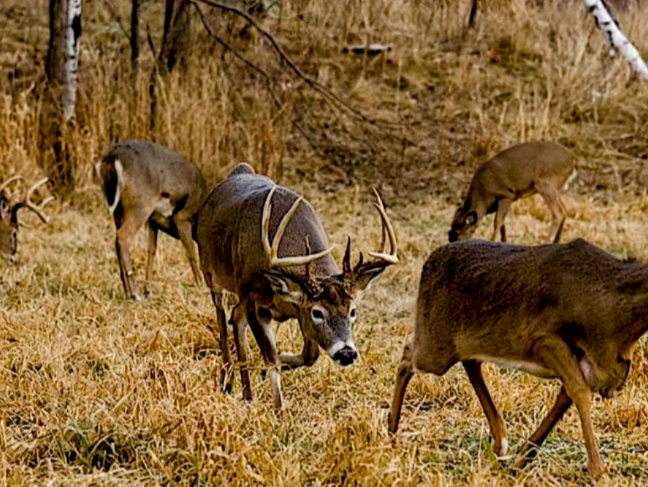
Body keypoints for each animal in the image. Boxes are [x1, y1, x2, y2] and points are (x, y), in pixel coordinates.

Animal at [95, 140, 208, 300]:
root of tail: (113, 156)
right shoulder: (182, 217)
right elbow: (191, 253)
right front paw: (201, 286)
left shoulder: (153, 221)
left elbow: (152, 251)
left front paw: (148, 289)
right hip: (140, 205)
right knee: (123, 237)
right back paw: (135, 293)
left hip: (119, 210)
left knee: (117, 240)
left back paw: (128, 291)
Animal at [195, 163, 398, 410]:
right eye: (318, 313)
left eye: (353, 311)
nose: (347, 353)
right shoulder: (255, 301)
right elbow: (271, 359)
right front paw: (279, 410)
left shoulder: (298, 311)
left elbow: (309, 356)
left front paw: (270, 368)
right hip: (211, 271)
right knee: (223, 318)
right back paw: (227, 381)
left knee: (235, 317)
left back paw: (247, 394)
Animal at [387, 237, 648, 477]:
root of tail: (429, 262)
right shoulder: (544, 339)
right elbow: (579, 393)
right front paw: (597, 471)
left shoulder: (590, 364)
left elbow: (565, 397)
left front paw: (522, 459)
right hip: (435, 345)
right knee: (407, 356)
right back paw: (392, 433)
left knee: (470, 360)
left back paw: (499, 441)